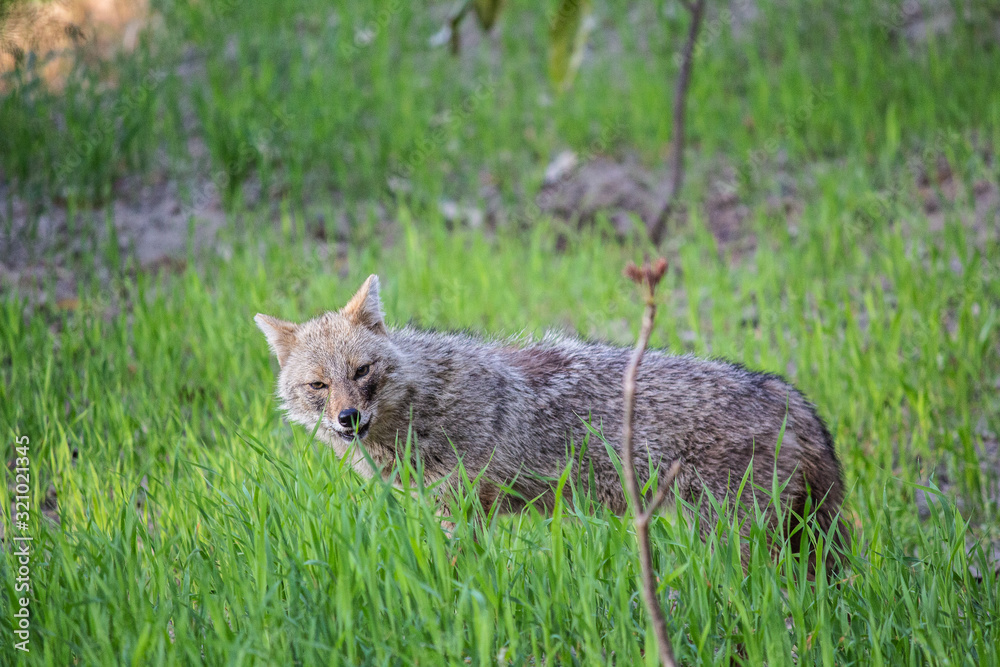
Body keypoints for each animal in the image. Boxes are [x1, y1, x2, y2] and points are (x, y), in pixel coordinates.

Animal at [255, 274, 846, 564]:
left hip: (732, 537)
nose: (348, 418)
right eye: (319, 386)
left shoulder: (462, 510)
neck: (427, 403)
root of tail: (783, 390)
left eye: (362, 370)